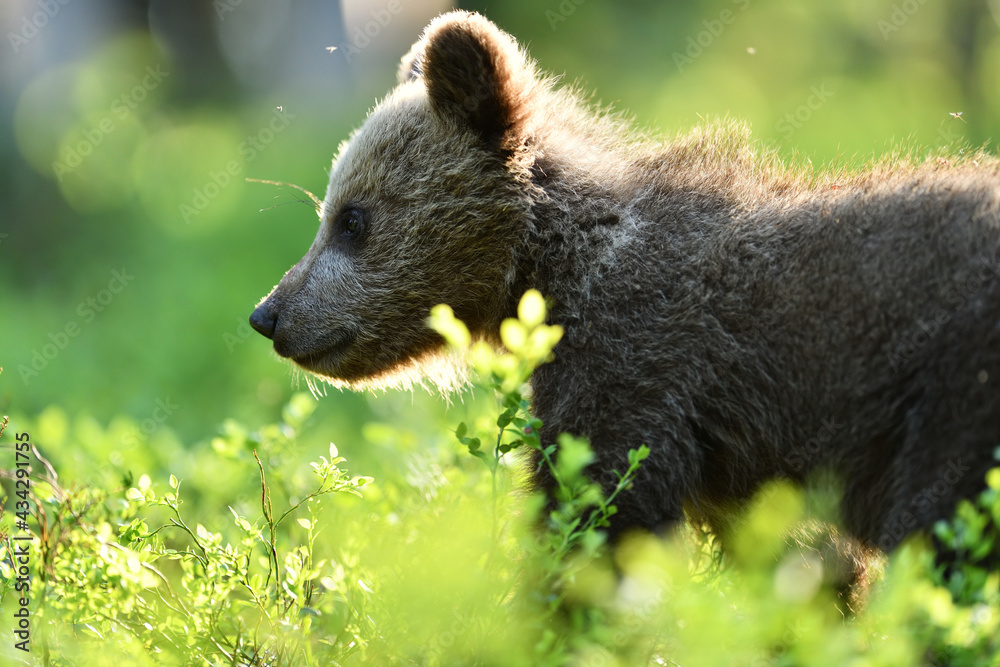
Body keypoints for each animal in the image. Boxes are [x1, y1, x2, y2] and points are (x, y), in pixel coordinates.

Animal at [250, 11, 1000, 558]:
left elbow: (597, 516)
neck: (553, 275)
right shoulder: (731, 460)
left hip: (953, 400)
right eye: (328, 210)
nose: (269, 315)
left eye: (351, 218)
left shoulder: (640, 369)